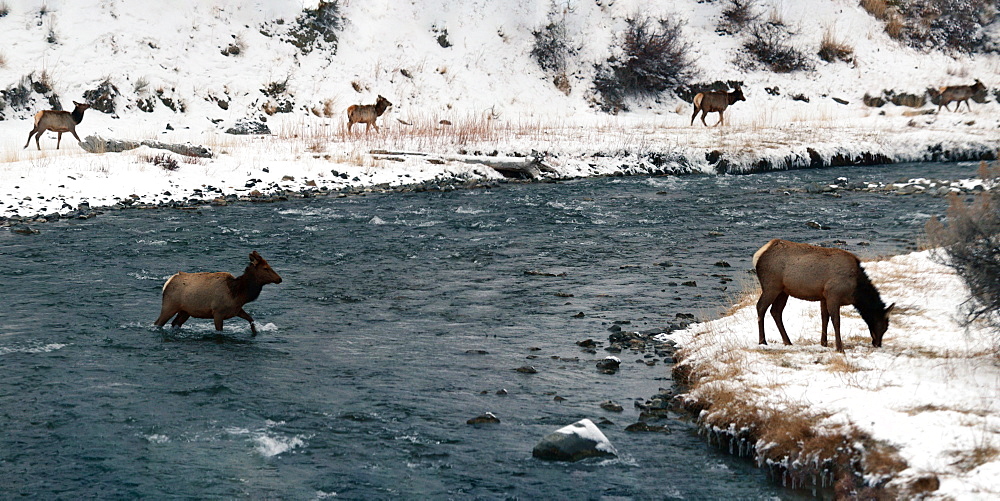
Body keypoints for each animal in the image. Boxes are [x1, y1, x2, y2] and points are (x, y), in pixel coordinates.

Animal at [154, 250, 284, 336]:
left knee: (175, 323)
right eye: (265, 268)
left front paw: (255, 332)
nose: (279, 279)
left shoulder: (236, 310)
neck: (238, 294)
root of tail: (167, 283)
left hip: (185, 311)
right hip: (169, 305)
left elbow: (251, 320)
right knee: (158, 322)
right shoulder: (218, 312)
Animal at [752, 238, 896, 352]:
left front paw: (824, 343)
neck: (855, 292)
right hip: (771, 286)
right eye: (884, 325)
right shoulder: (833, 294)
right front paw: (839, 348)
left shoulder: (824, 296)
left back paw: (787, 341)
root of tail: (757, 256)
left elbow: (824, 318)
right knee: (761, 307)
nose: (878, 344)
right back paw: (762, 341)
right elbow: (836, 321)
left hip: (783, 291)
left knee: (776, 311)